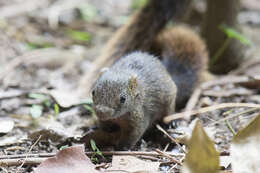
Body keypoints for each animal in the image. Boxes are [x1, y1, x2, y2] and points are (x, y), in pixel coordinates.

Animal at [80, 0, 208, 149]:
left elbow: (134, 134)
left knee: (169, 111)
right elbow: (104, 124)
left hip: (169, 100)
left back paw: (170, 122)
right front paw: (104, 127)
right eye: (93, 92)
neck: (119, 118)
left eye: (123, 99)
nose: (101, 112)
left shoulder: (140, 117)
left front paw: (123, 146)